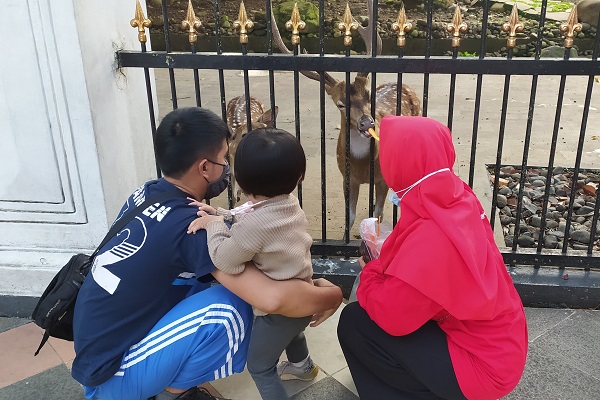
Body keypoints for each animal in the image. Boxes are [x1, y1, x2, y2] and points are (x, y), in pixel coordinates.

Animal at [272, 0, 422, 231]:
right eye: (341, 104)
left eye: (368, 94)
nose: (366, 123)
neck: (362, 166)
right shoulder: (347, 178)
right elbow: (349, 217)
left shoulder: (382, 179)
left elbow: (378, 214)